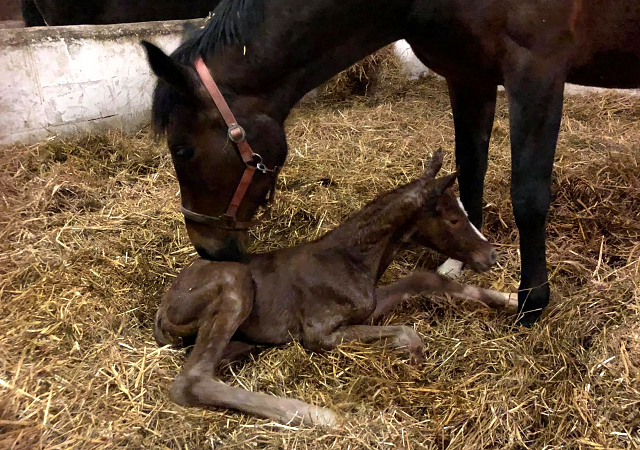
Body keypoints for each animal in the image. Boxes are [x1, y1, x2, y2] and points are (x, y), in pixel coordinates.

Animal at [155, 150, 516, 426]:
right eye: (453, 219)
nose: (491, 255)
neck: (351, 259)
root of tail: (164, 305)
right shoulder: (319, 333)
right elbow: (407, 333)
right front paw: (413, 363)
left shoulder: (369, 305)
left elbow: (424, 280)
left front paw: (512, 299)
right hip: (235, 282)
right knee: (192, 381)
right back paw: (318, 415)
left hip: (237, 337)